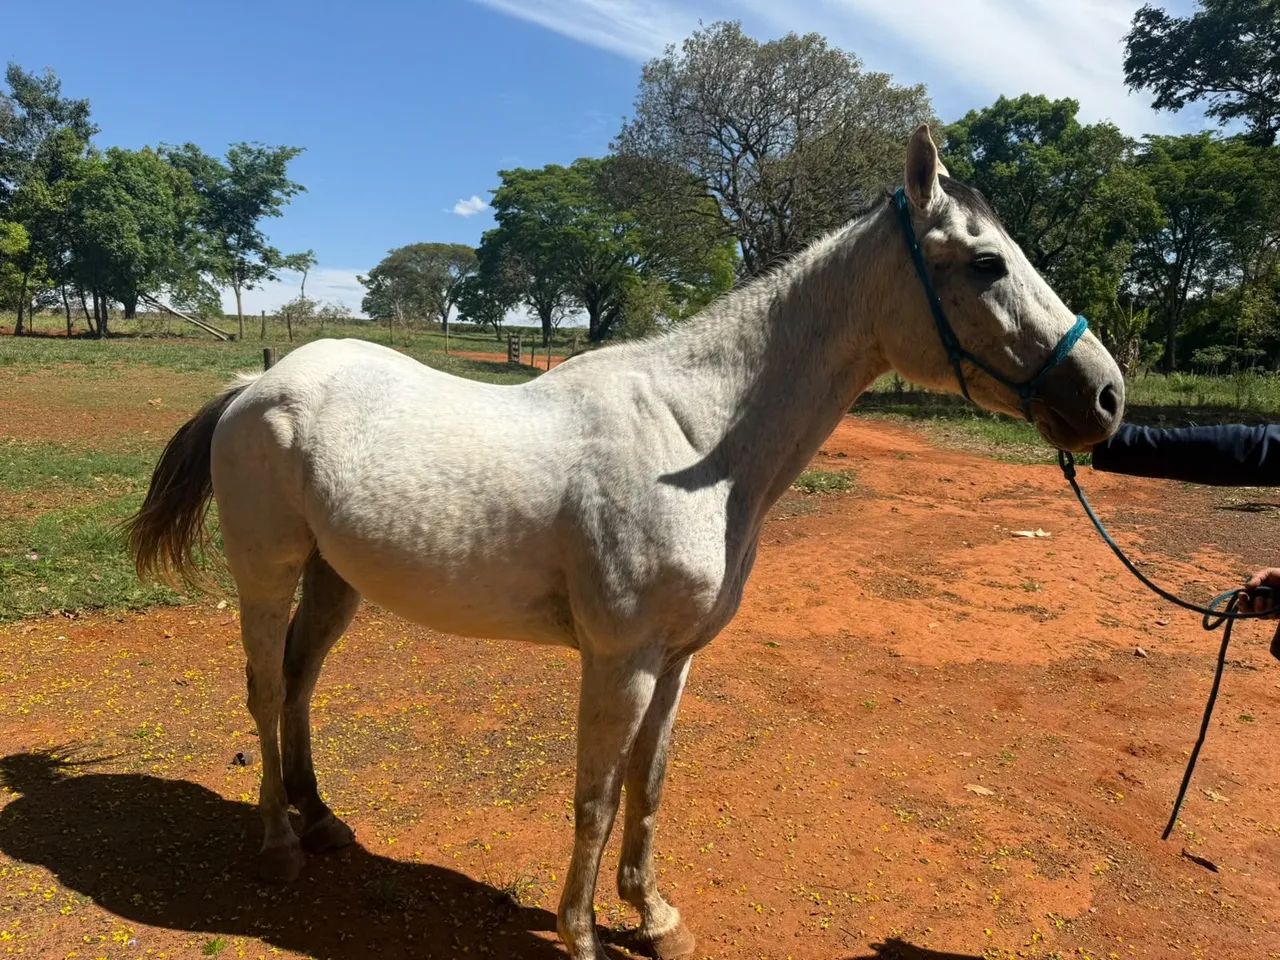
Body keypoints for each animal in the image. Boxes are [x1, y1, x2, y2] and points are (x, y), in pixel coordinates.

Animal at [126, 126, 1124, 960]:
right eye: (988, 262)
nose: (1106, 395)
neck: (693, 442)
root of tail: (256, 387)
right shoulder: (622, 660)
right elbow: (598, 795)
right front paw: (580, 935)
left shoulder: (676, 661)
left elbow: (650, 787)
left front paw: (655, 917)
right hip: (268, 574)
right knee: (264, 690)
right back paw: (279, 843)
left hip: (337, 581)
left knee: (300, 683)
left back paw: (323, 818)